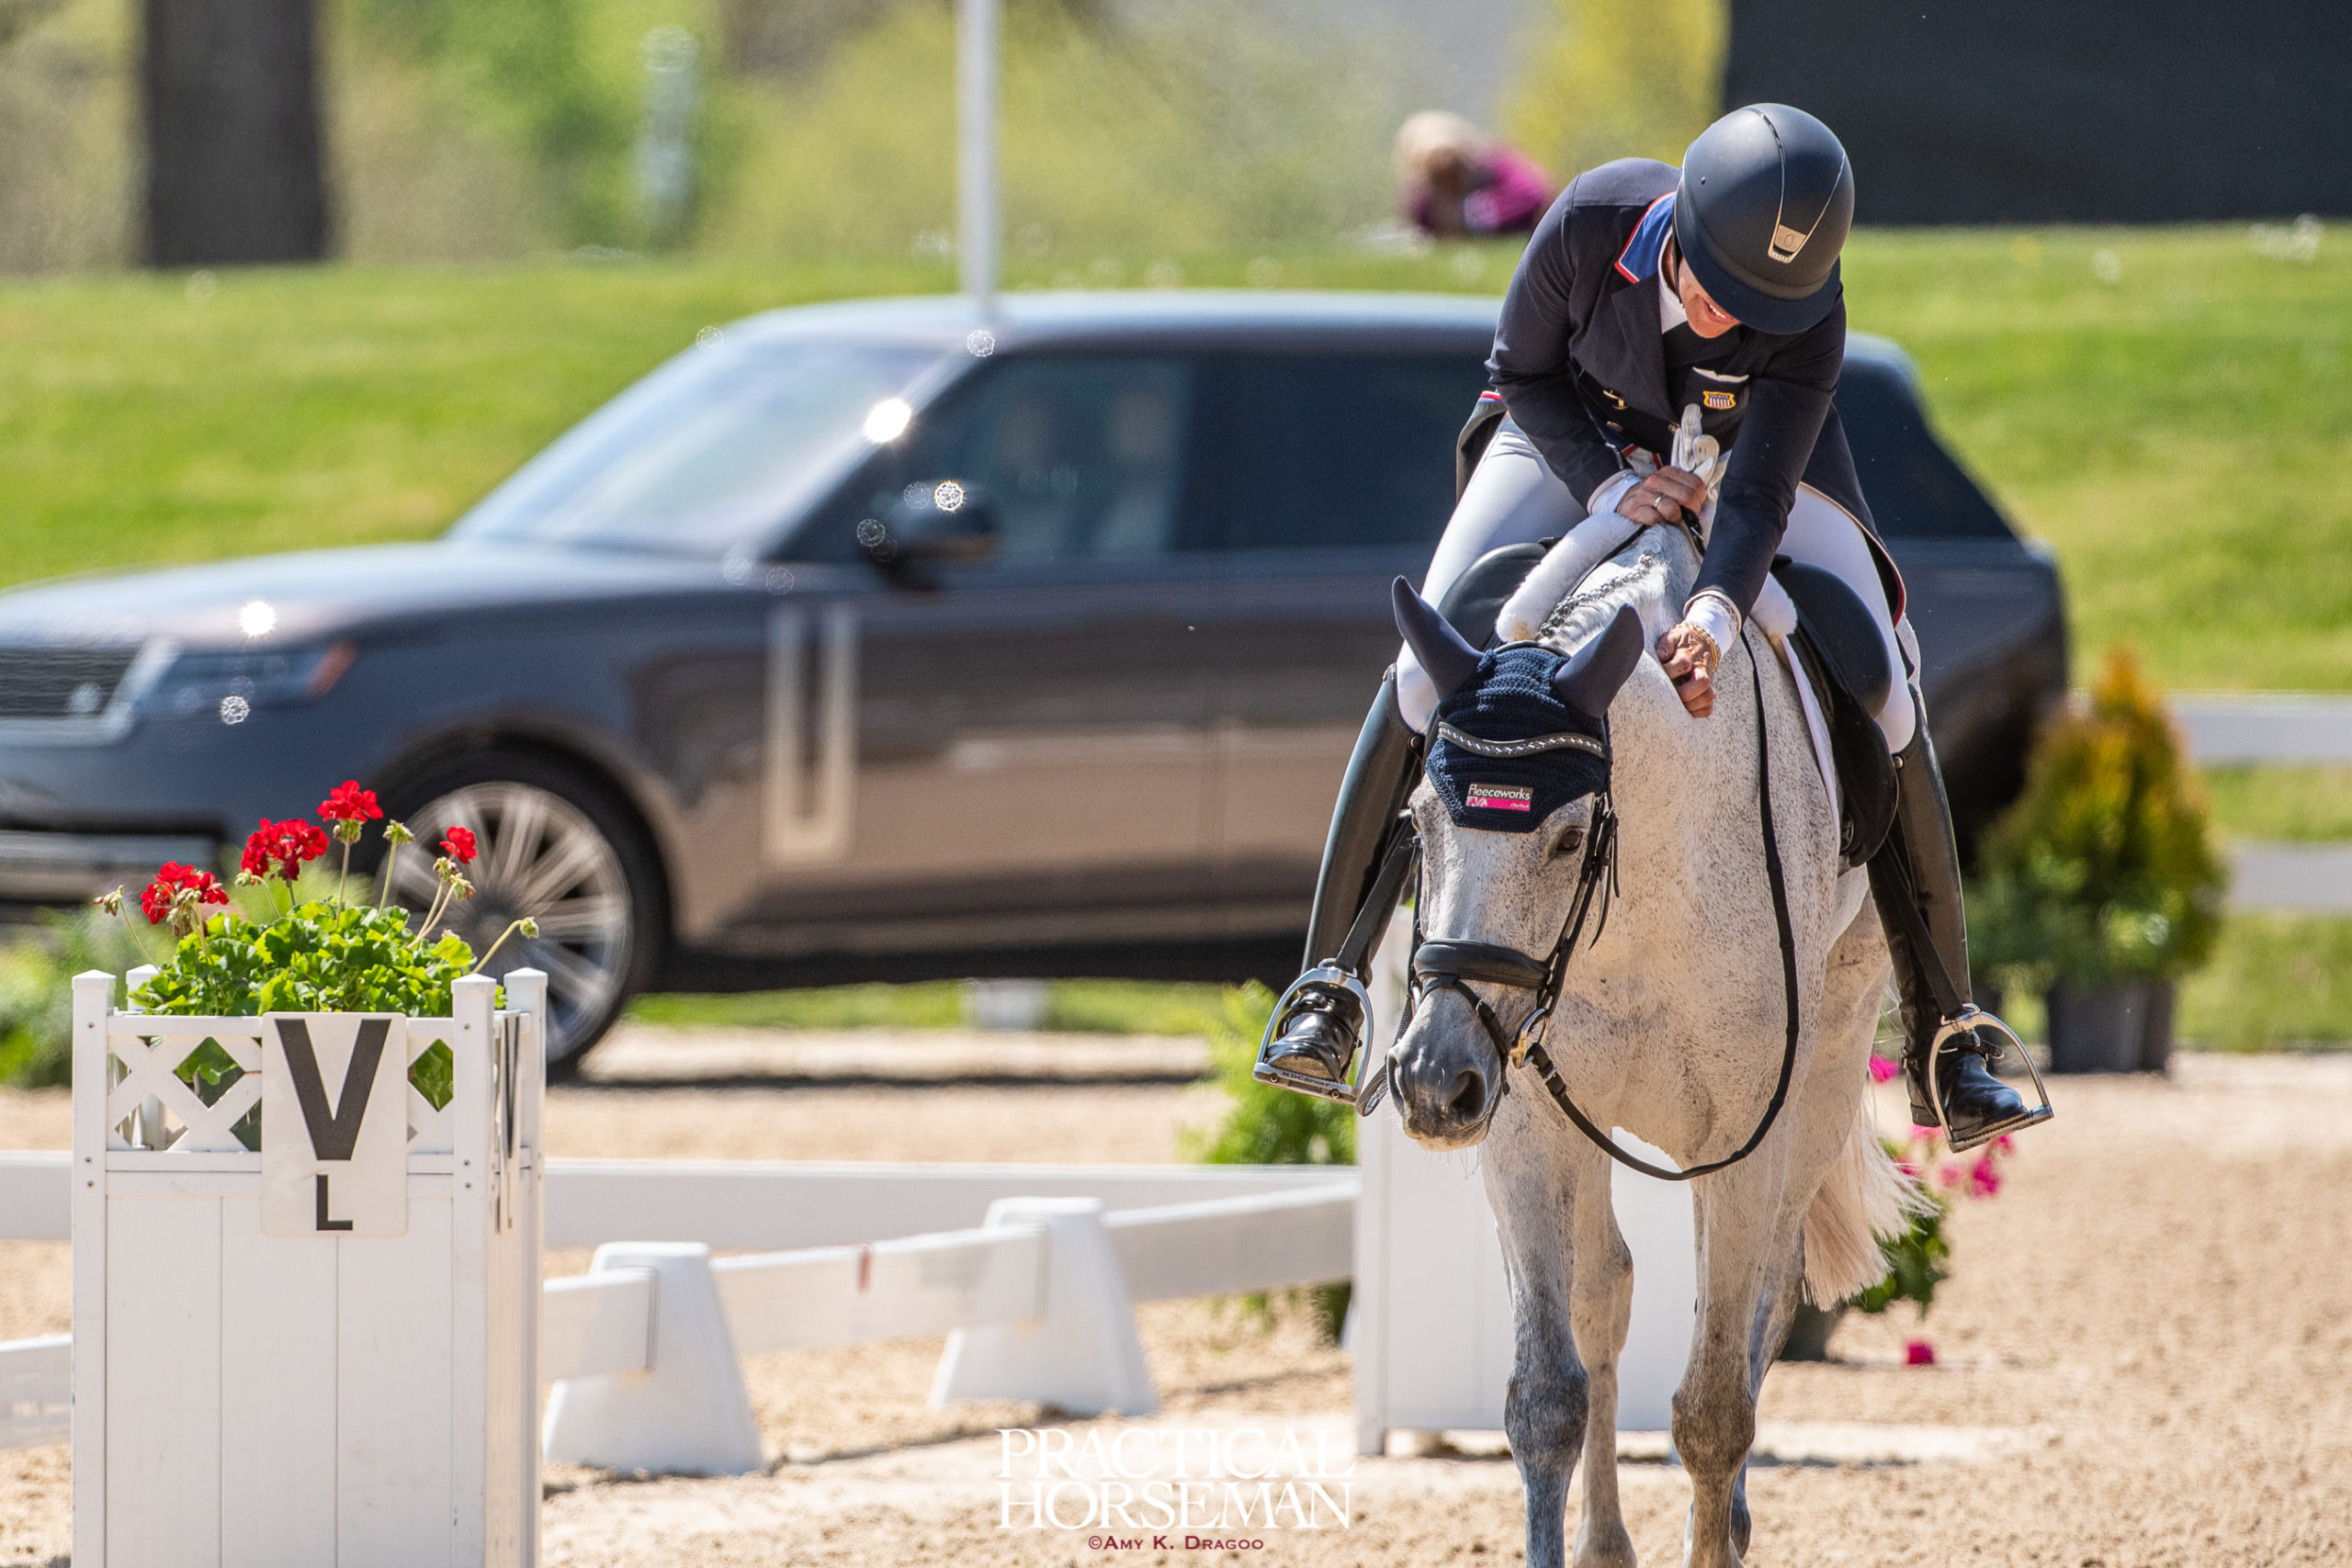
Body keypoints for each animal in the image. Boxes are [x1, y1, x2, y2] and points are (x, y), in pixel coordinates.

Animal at [1374, 526, 1909, 1568]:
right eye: (1417, 821)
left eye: (1566, 836)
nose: (1432, 1082)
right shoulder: (1528, 1126)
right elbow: (1547, 1399)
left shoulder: (1746, 1134)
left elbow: (1711, 1412)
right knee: (1607, 1292)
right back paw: (1608, 1541)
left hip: (1821, 1086)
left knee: (1762, 1300)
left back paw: (1728, 1523)